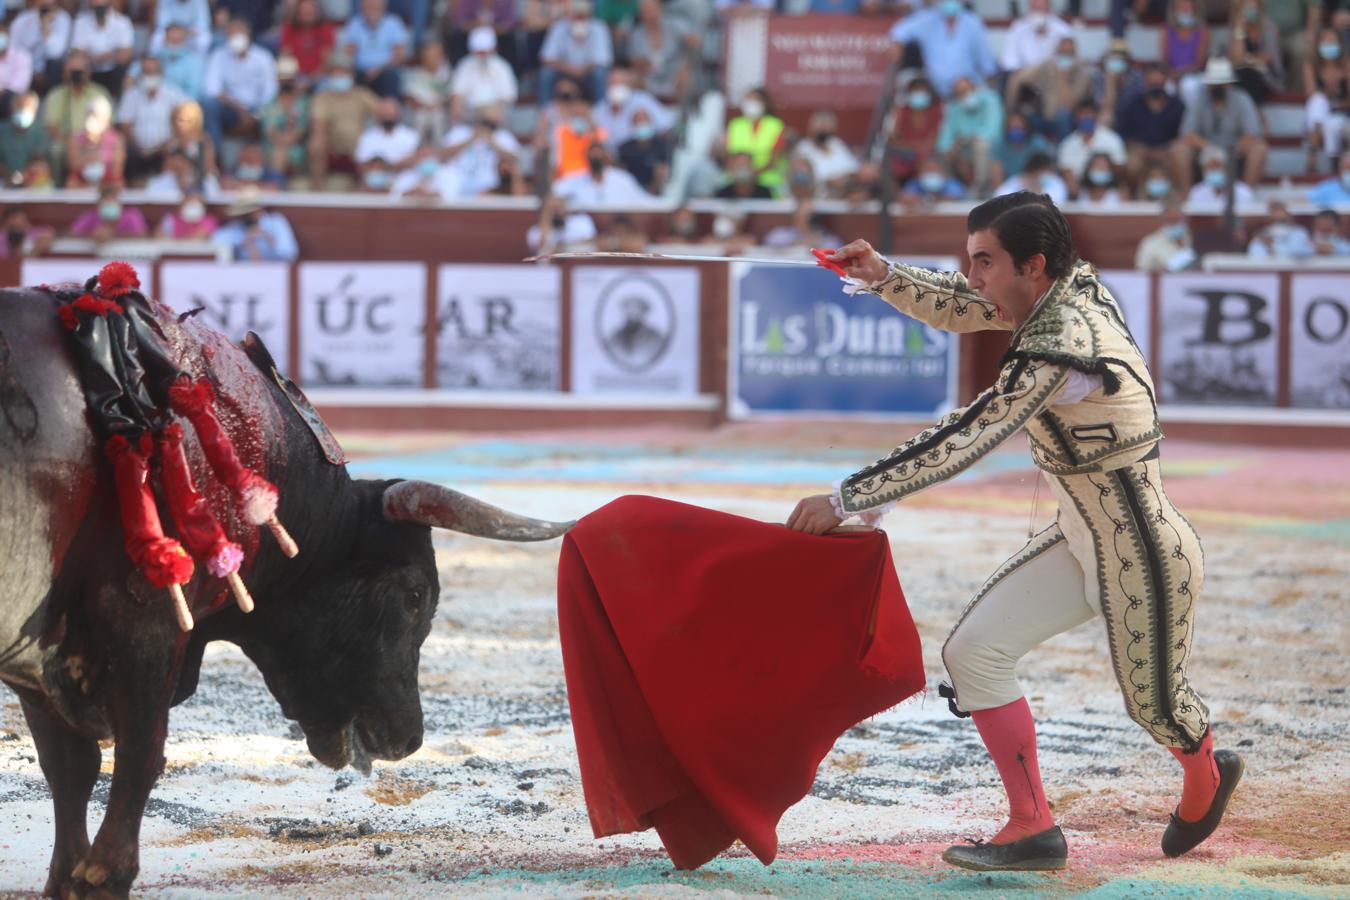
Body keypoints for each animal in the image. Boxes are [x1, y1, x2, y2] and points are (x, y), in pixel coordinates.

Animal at [0, 287, 569, 895]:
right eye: (414, 596)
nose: (409, 737)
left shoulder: (44, 656)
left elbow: (70, 770)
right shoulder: (145, 627)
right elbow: (137, 764)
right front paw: (103, 873)